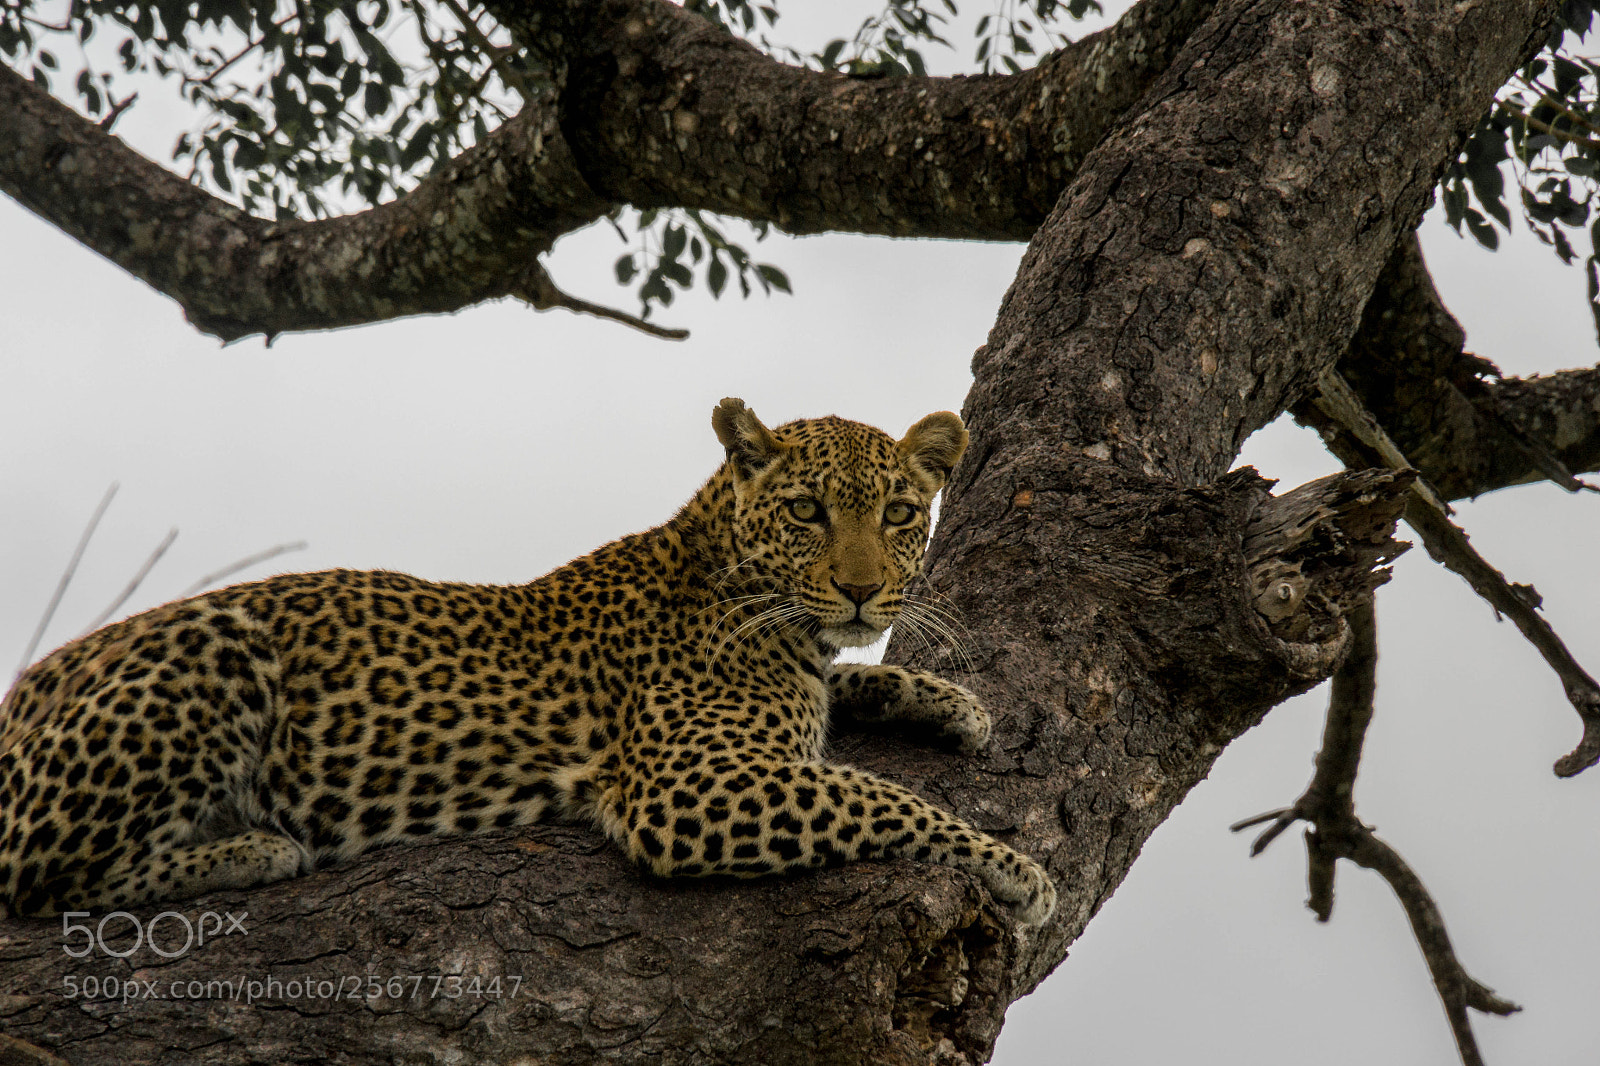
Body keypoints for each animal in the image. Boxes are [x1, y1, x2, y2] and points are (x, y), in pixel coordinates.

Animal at [0, 398, 1056, 926]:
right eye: (807, 512)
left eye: (898, 514)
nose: (862, 591)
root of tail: (27, 688)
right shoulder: (686, 784)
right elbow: (887, 801)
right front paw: (1015, 870)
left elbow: (848, 690)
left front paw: (949, 701)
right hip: (211, 653)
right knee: (35, 877)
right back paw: (255, 847)